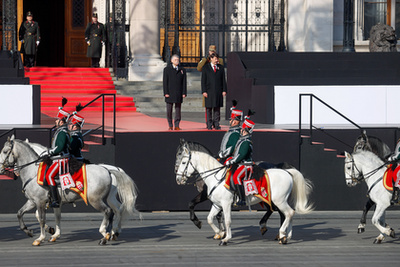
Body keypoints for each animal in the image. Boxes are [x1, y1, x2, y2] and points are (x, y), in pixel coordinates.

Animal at [0, 137, 139, 246]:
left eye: (5, 151)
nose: (1, 168)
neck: (34, 172)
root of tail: (109, 170)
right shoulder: (34, 201)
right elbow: (21, 213)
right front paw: (31, 231)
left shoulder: (40, 202)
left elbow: (41, 219)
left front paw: (41, 238)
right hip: (108, 199)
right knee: (117, 210)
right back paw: (112, 233)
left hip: (96, 200)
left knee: (109, 212)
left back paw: (106, 234)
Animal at [174, 140, 312, 247]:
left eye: (183, 161)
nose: (178, 178)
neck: (215, 176)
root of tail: (287, 172)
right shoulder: (217, 204)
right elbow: (210, 218)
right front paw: (220, 233)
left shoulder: (226, 204)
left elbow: (227, 220)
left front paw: (225, 239)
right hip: (276, 201)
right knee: (287, 214)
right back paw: (285, 237)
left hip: (279, 201)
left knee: (288, 213)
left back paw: (281, 233)